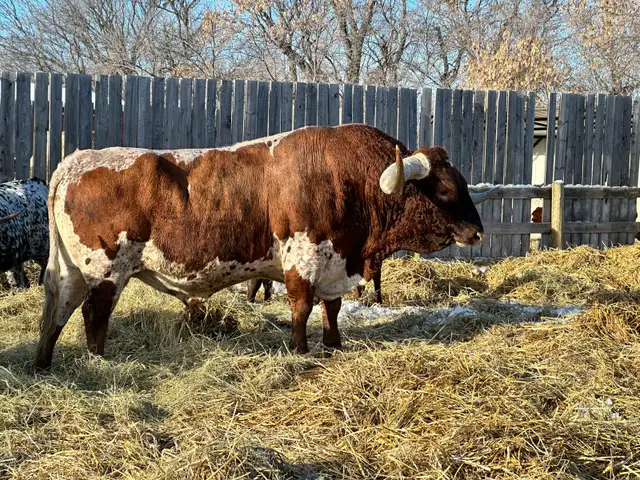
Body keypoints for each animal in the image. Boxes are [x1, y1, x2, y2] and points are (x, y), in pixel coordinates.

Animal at [33, 124, 498, 370]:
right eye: (442, 188)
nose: (477, 233)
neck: (350, 181)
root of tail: (75, 160)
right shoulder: (303, 260)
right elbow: (302, 308)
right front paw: (300, 351)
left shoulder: (334, 263)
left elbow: (331, 309)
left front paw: (334, 345)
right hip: (106, 270)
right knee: (93, 315)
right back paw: (99, 362)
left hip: (71, 269)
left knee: (56, 310)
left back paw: (43, 364)